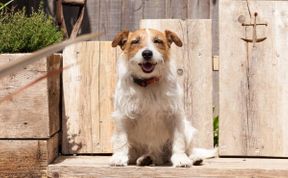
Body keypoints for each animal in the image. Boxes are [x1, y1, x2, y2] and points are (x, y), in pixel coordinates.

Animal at [110, 28, 216, 167]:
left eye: (157, 41)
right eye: (135, 41)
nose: (147, 53)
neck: (148, 83)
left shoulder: (175, 116)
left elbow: (178, 141)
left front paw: (180, 158)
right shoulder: (123, 116)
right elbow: (121, 140)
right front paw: (119, 158)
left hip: (187, 129)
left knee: (188, 149)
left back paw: (194, 158)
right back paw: (145, 159)